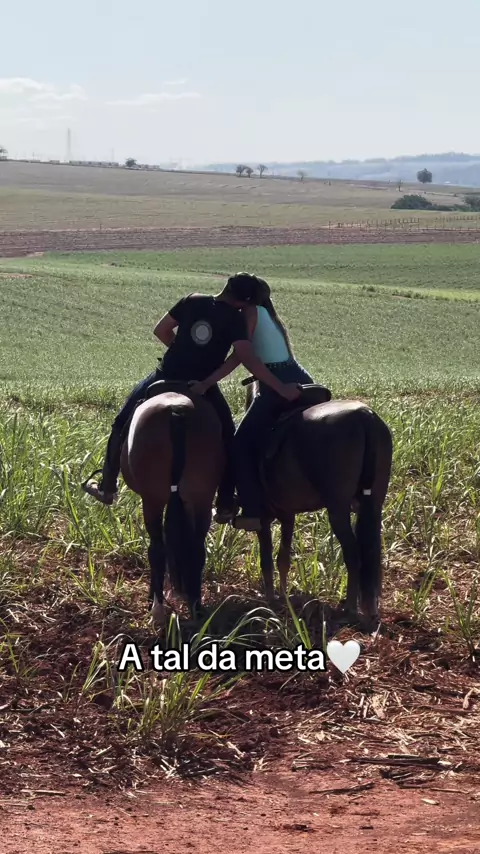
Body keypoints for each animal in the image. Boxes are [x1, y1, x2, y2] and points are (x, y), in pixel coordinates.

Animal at [120, 380, 224, 629]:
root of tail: (177, 411)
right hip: (202, 498)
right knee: (196, 548)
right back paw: (197, 608)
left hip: (153, 499)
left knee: (157, 549)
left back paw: (157, 609)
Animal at [243, 380, 393, 623]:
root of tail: (364, 416)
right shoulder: (288, 515)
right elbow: (283, 558)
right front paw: (284, 597)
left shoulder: (263, 519)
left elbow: (266, 559)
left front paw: (271, 599)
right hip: (374, 505)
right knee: (370, 553)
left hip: (337, 510)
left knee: (353, 555)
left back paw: (349, 607)